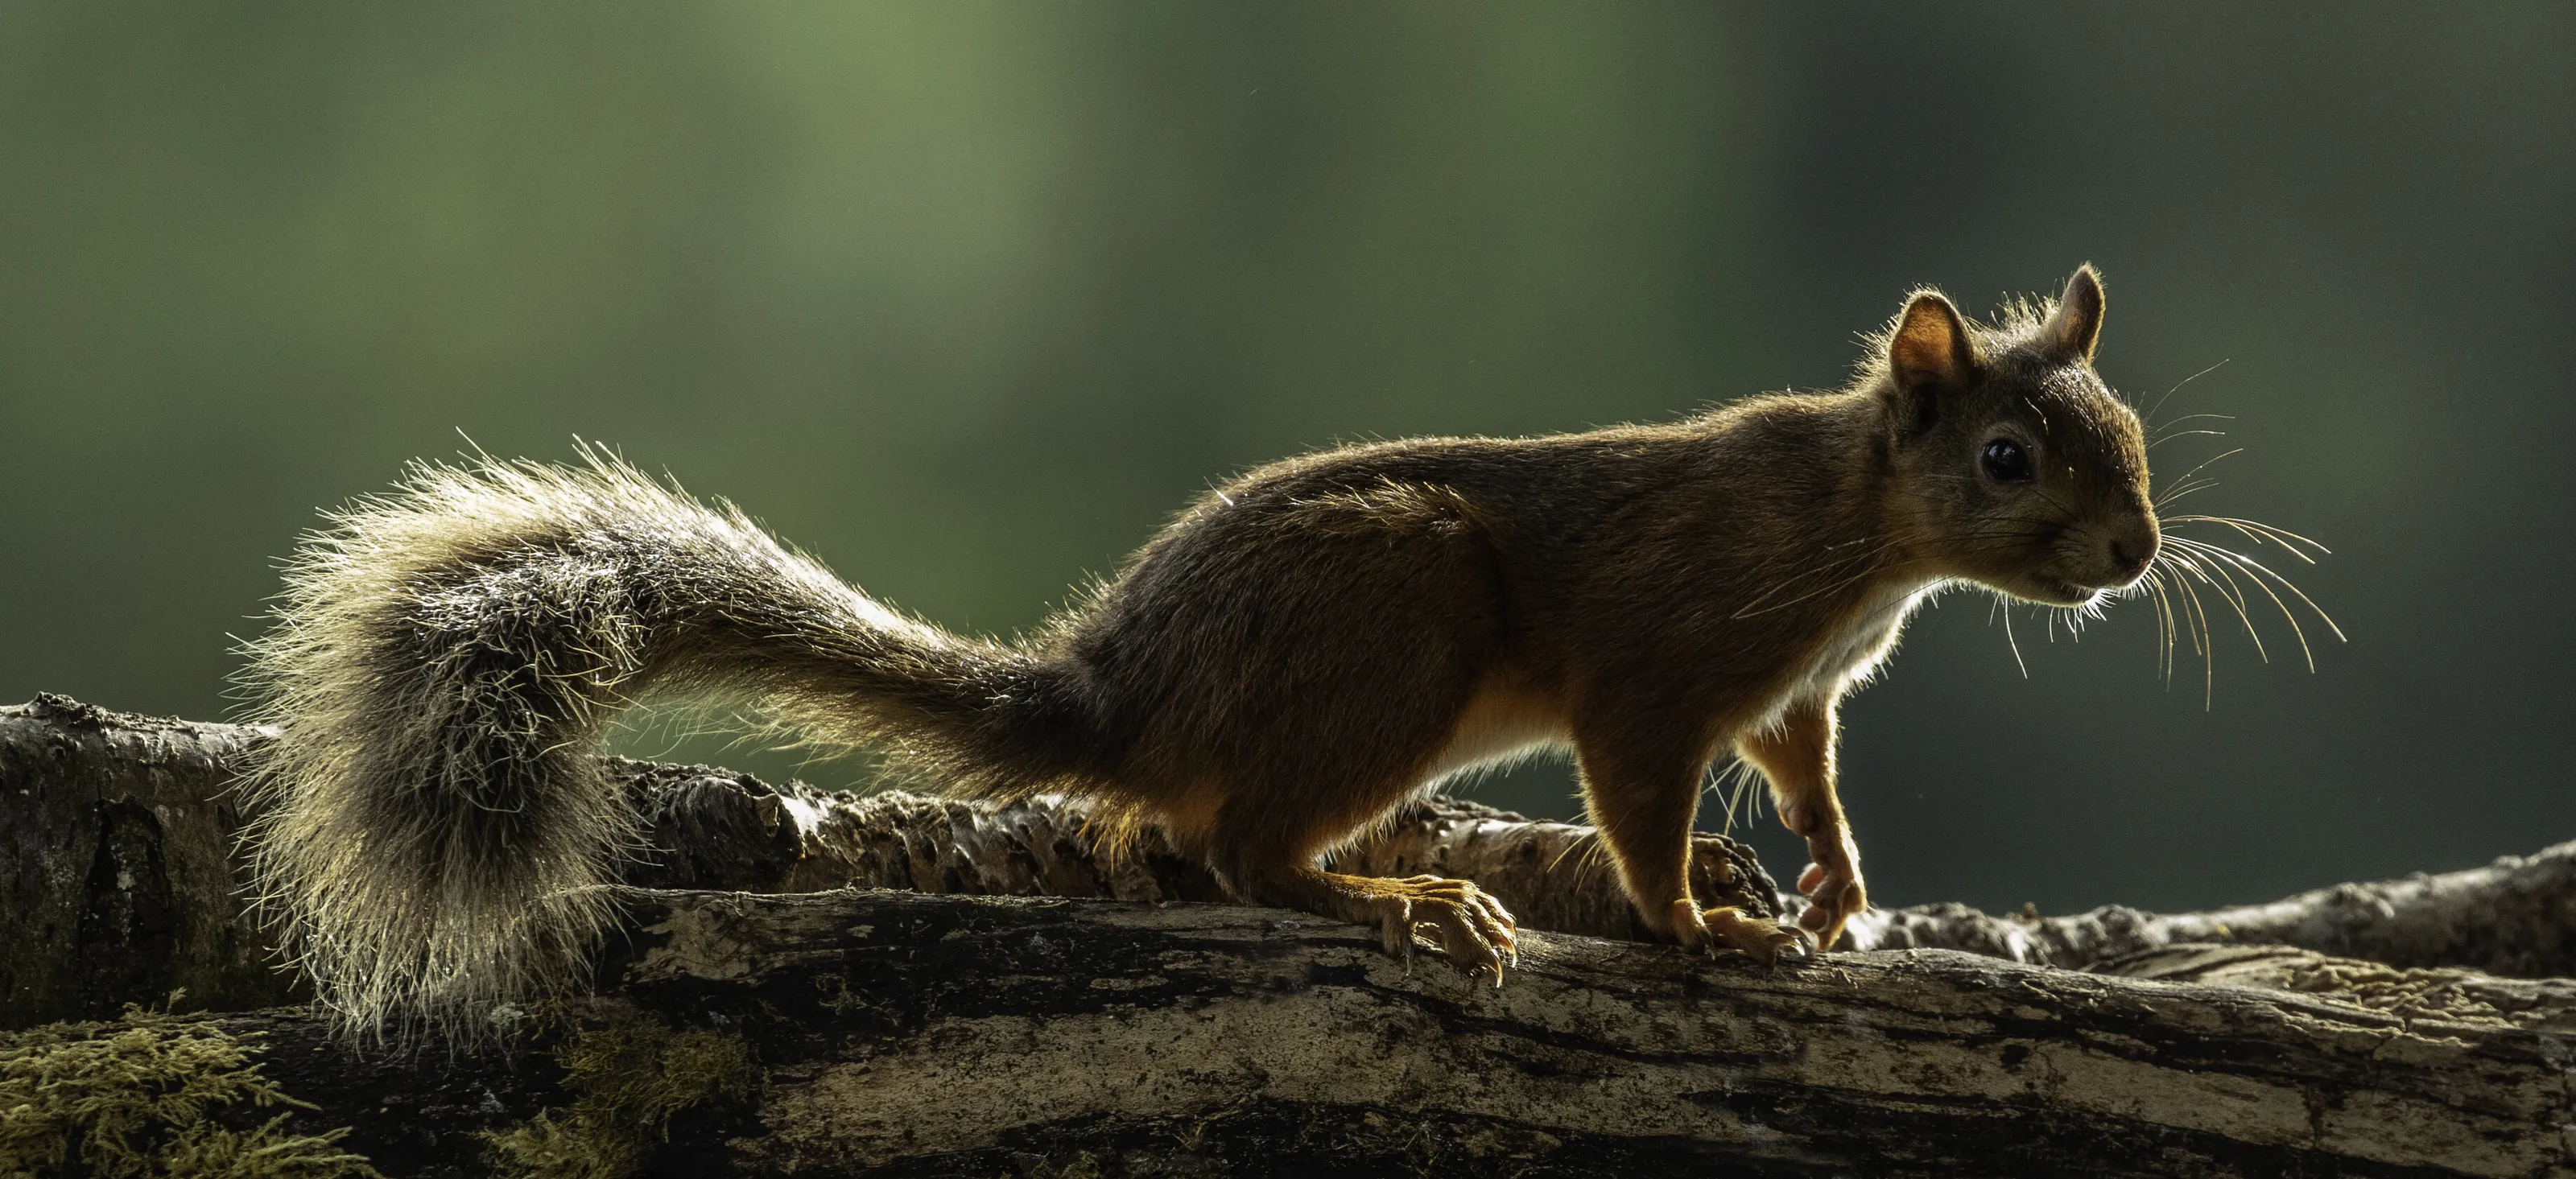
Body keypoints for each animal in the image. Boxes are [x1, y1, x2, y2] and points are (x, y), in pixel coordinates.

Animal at [240, 265, 2156, 1041]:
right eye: (2007, 459)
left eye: (2127, 434)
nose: (2136, 554)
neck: (1858, 534)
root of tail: (1126, 685)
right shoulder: (1658, 662)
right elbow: (1639, 799)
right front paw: (1697, 922)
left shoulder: (1793, 695)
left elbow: (1805, 774)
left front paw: (1831, 883)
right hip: (1404, 617)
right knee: (1239, 850)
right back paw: (1401, 897)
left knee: (1178, 836)